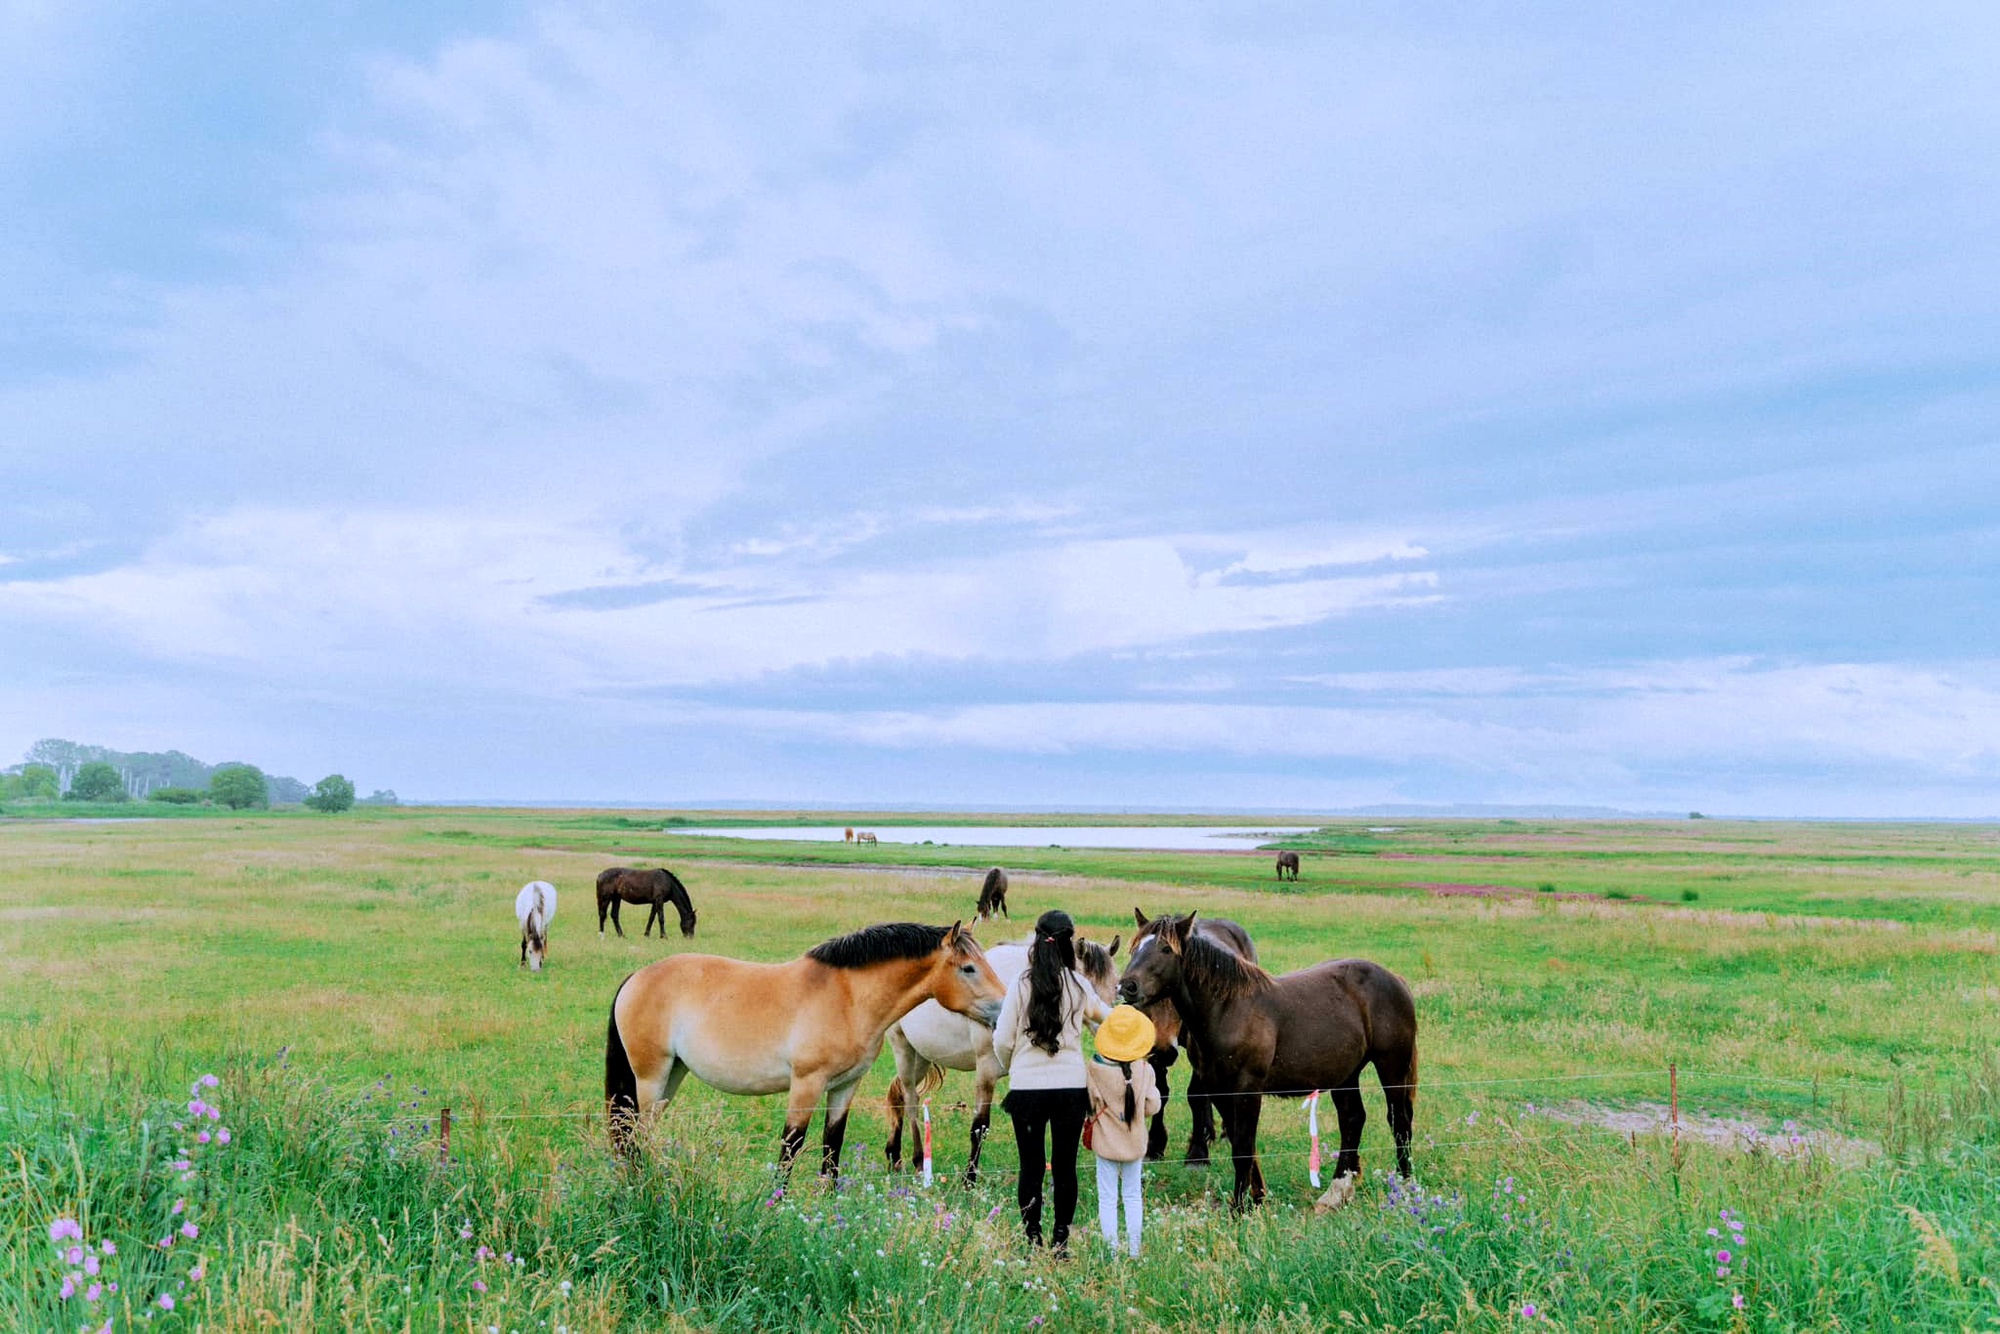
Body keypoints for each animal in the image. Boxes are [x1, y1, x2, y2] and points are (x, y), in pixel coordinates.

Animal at [596, 920, 996, 1176]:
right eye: (969, 968)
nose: (1001, 1010)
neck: (847, 998)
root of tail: (636, 978)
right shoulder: (806, 1084)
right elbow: (791, 1147)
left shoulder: (844, 1086)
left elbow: (832, 1146)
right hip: (651, 1077)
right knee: (635, 1133)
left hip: (673, 1075)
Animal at [880, 936, 1120, 1184]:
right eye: (1087, 988)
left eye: (1115, 985)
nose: (1109, 1031)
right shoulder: (986, 1070)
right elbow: (980, 1127)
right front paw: (969, 1180)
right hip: (904, 1050)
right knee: (910, 1100)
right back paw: (917, 1162)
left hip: (921, 1057)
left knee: (899, 1094)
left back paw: (894, 1157)